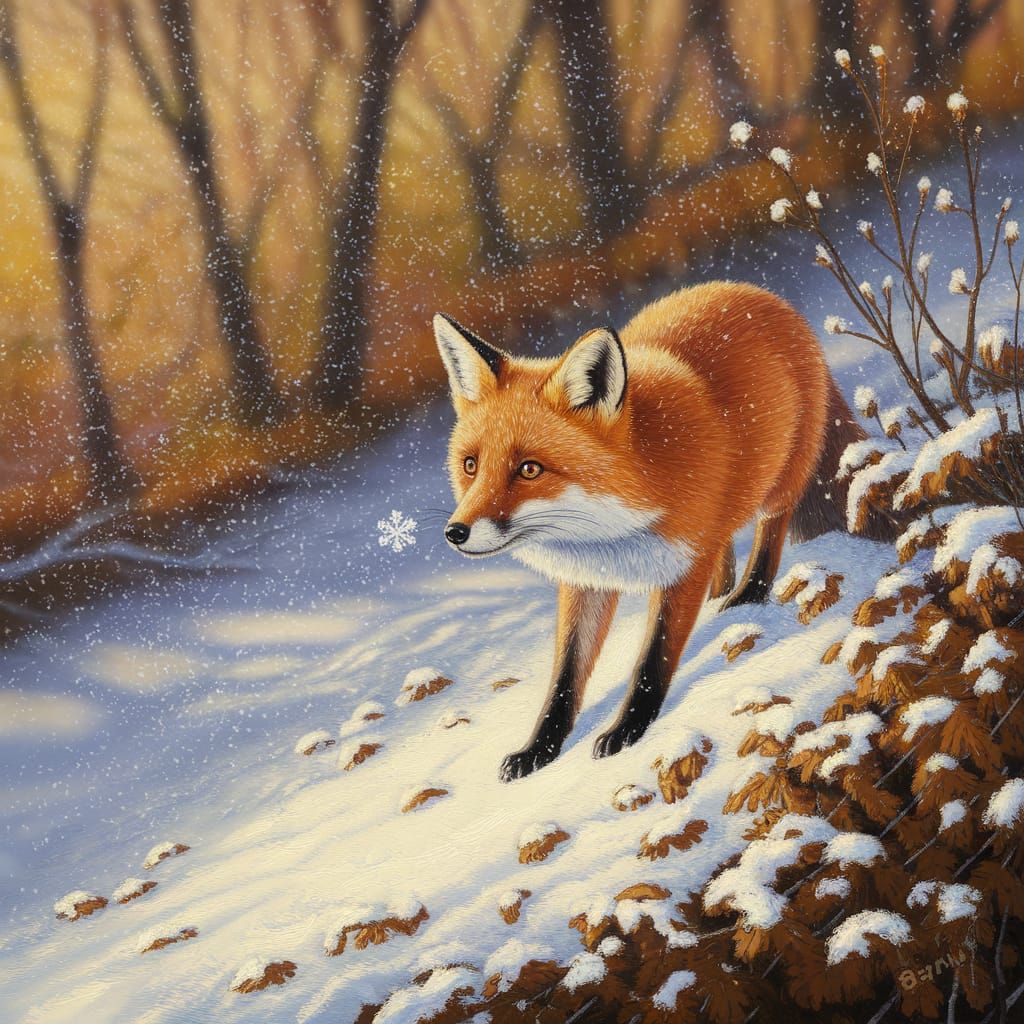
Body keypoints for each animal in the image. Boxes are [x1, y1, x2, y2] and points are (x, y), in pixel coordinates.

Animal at [433, 282, 867, 782]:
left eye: (529, 469)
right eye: (471, 465)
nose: (455, 533)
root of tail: (758, 293)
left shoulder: (683, 563)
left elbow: (652, 661)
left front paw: (626, 732)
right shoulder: (585, 583)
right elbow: (565, 679)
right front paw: (538, 750)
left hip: (780, 479)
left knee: (769, 529)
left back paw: (749, 593)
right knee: (726, 547)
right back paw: (722, 594)